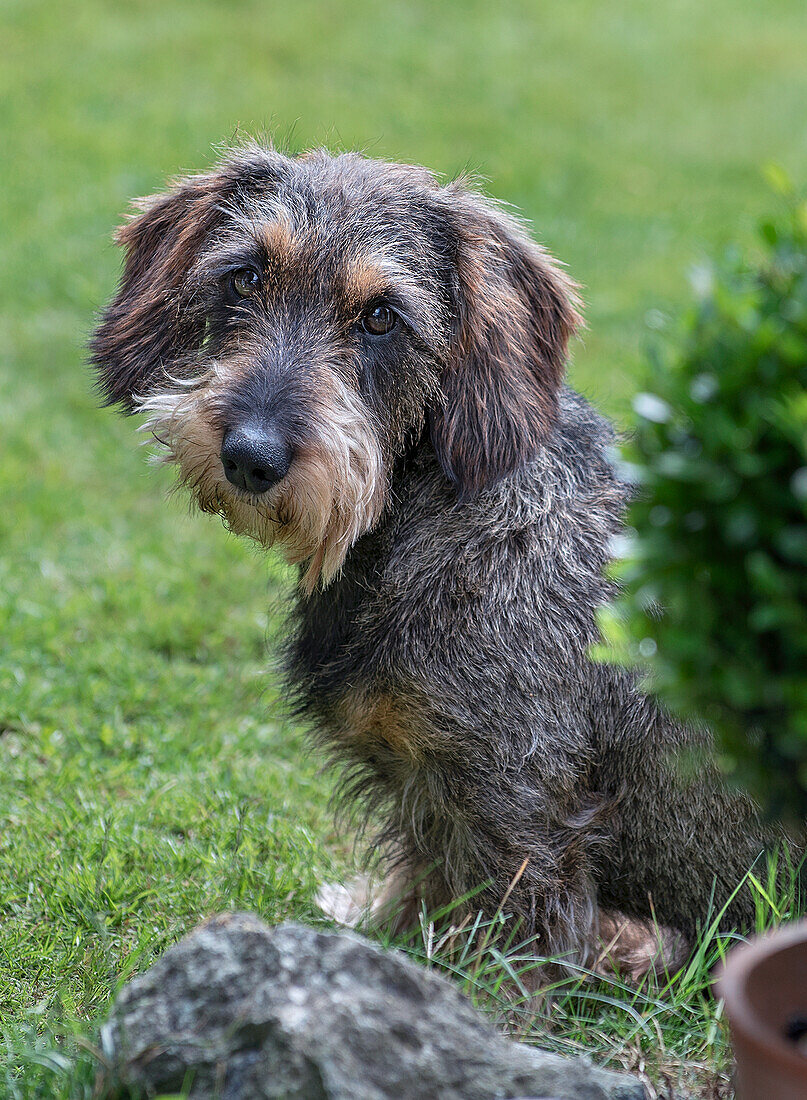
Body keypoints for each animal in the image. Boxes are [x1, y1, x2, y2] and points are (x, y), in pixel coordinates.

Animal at [91, 141, 791, 976]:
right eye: (247, 277)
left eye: (380, 317)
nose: (250, 457)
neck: (432, 517)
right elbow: (424, 877)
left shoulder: (516, 796)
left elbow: (507, 931)